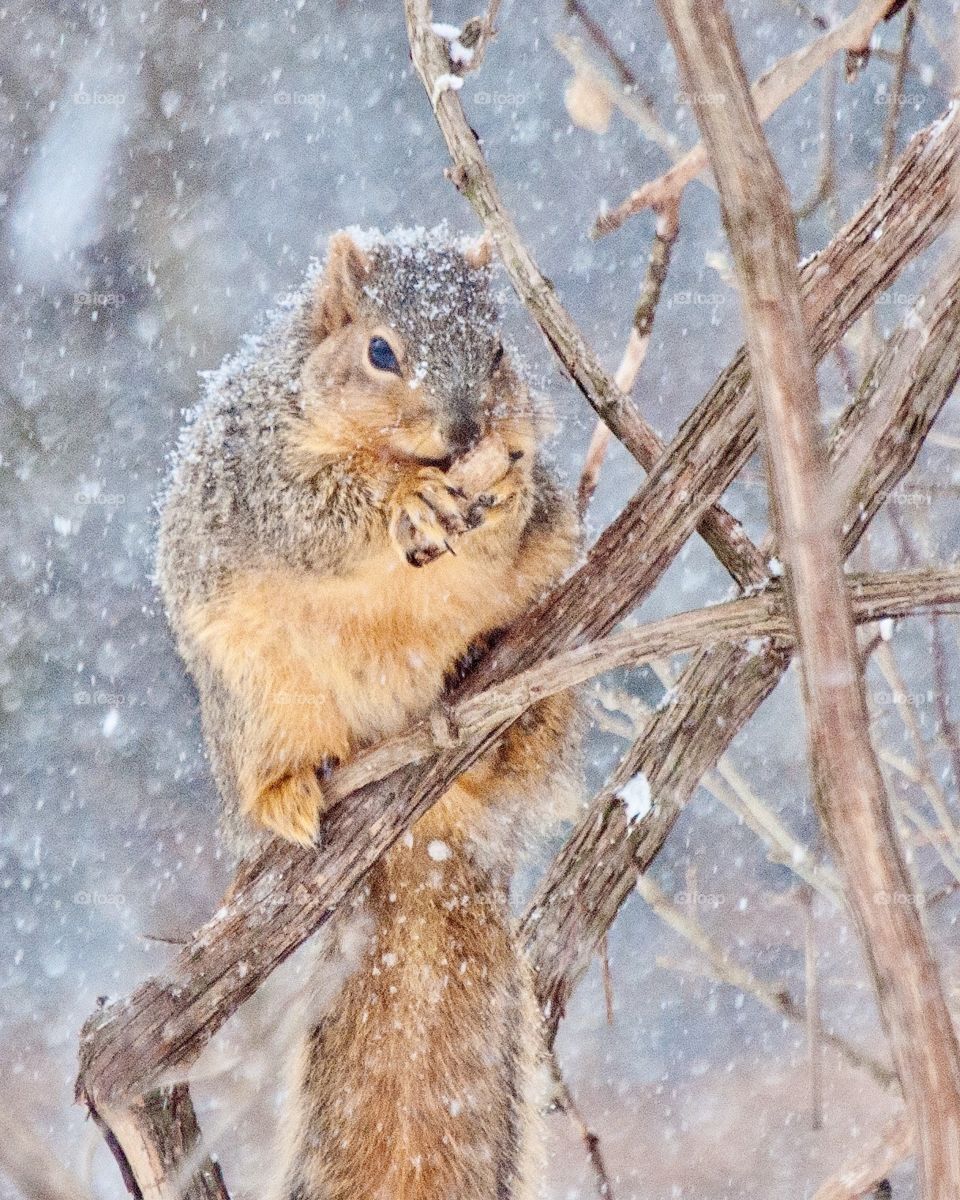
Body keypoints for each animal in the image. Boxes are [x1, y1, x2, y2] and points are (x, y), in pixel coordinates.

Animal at [154, 226, 580, 1200]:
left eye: (499, 351)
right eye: (381, 352)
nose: (467, 432)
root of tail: (427, 837)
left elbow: (517, 512)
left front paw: (503, 489)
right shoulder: (261, 474)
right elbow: (320, 512)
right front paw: (398, 501)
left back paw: (495, 712)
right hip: (256, 696)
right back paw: (288, 793)